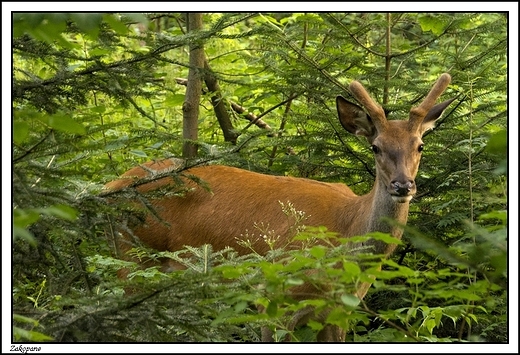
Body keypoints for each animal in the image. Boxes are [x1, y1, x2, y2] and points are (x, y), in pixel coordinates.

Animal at [102, 73, 456, 344]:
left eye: (420, 146)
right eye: (375, 147)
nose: (402, 185)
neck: (347, 230)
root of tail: (109, 187)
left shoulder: (339, 312)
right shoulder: (273, 298)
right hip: (132, 257)